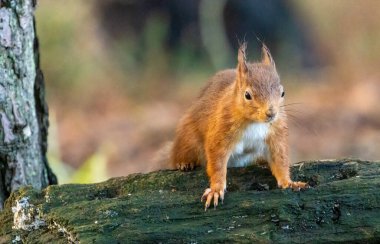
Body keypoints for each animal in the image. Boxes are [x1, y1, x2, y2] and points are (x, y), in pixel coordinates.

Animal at [171, 43, 308, 210]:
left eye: (283, 93)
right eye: (247, 95)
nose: (271, 113)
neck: (255, 122)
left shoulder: (276, 135)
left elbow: (280, 160)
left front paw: (289, 182)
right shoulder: (221, 132)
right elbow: (217, 162)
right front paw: (216, 189)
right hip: (189, 139)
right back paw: (184, 163)